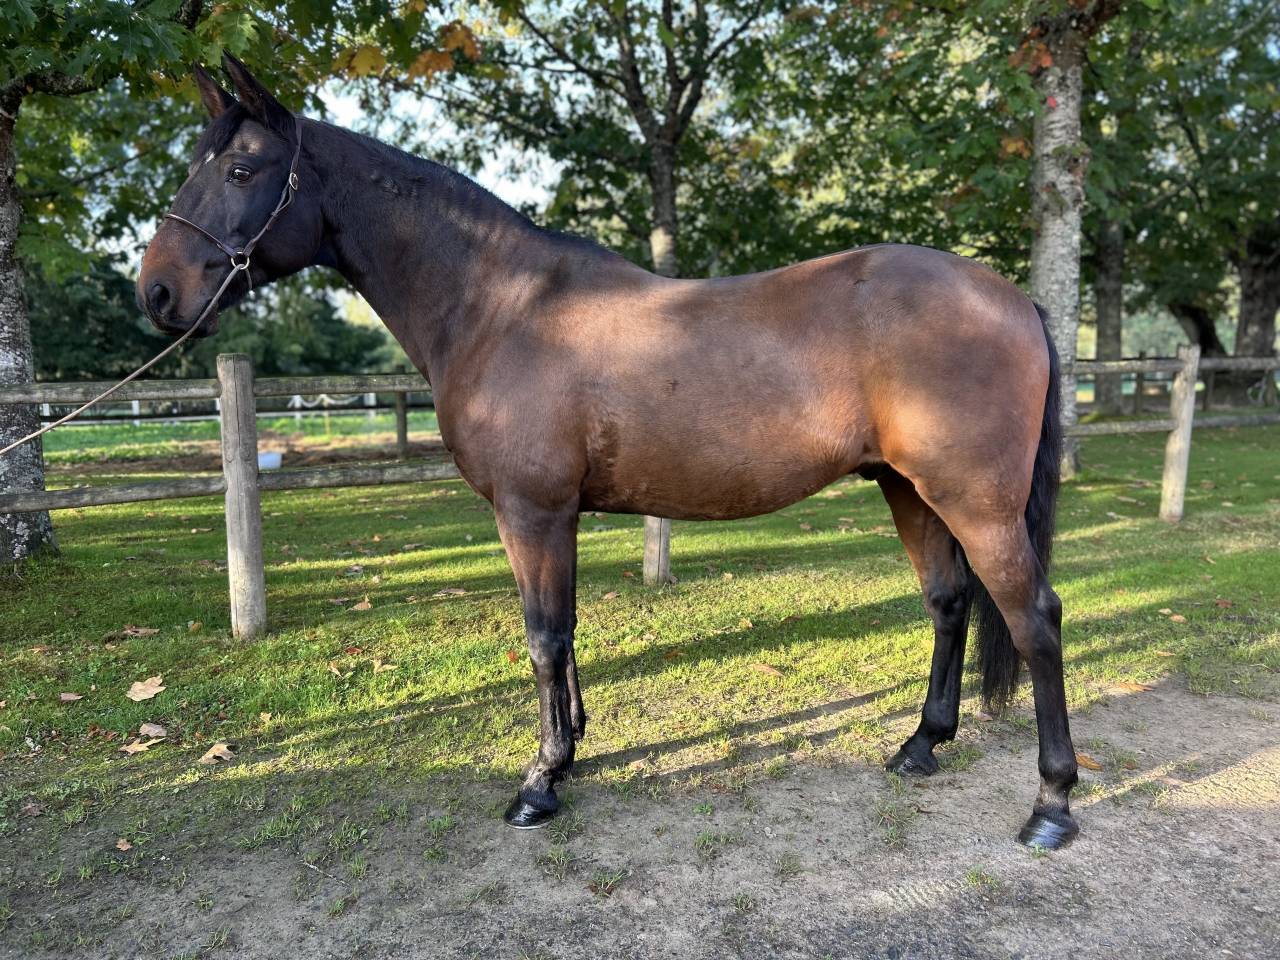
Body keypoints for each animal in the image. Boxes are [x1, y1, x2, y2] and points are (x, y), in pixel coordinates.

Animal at [137, 55, 1080, 849]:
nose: (157, 292)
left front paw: (540, 782)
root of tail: (1010, 299)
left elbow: (544, 637)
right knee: (949, 603)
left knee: (1035, 620)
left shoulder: (532, 512)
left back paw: (1051, 805)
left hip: (977, 502)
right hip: (907, 488)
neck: (503, 307)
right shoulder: (556, 517)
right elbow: (564, 634)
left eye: (242, 170)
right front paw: (572, 749)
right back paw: (921, 745)